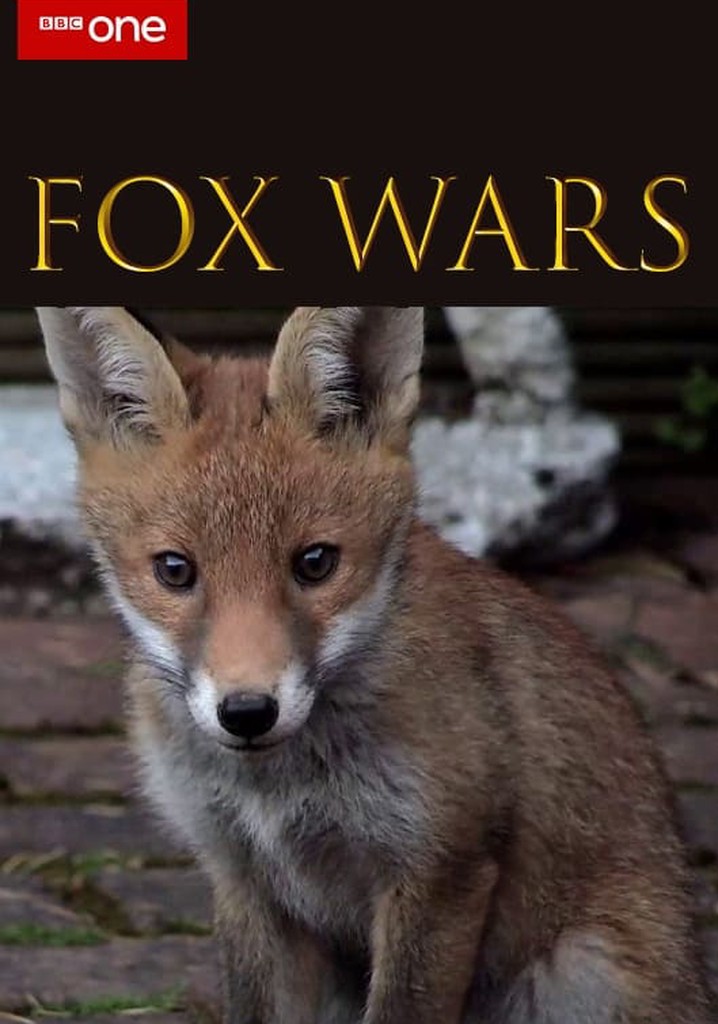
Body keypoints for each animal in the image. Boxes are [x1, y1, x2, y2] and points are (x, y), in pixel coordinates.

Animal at [36, 305, 713, 1024]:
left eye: (315, 563)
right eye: (174, 570)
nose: (247, 712)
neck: (280, 793)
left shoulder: (441, 870)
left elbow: (403, 1006)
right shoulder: (239, 873)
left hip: (583, 970)